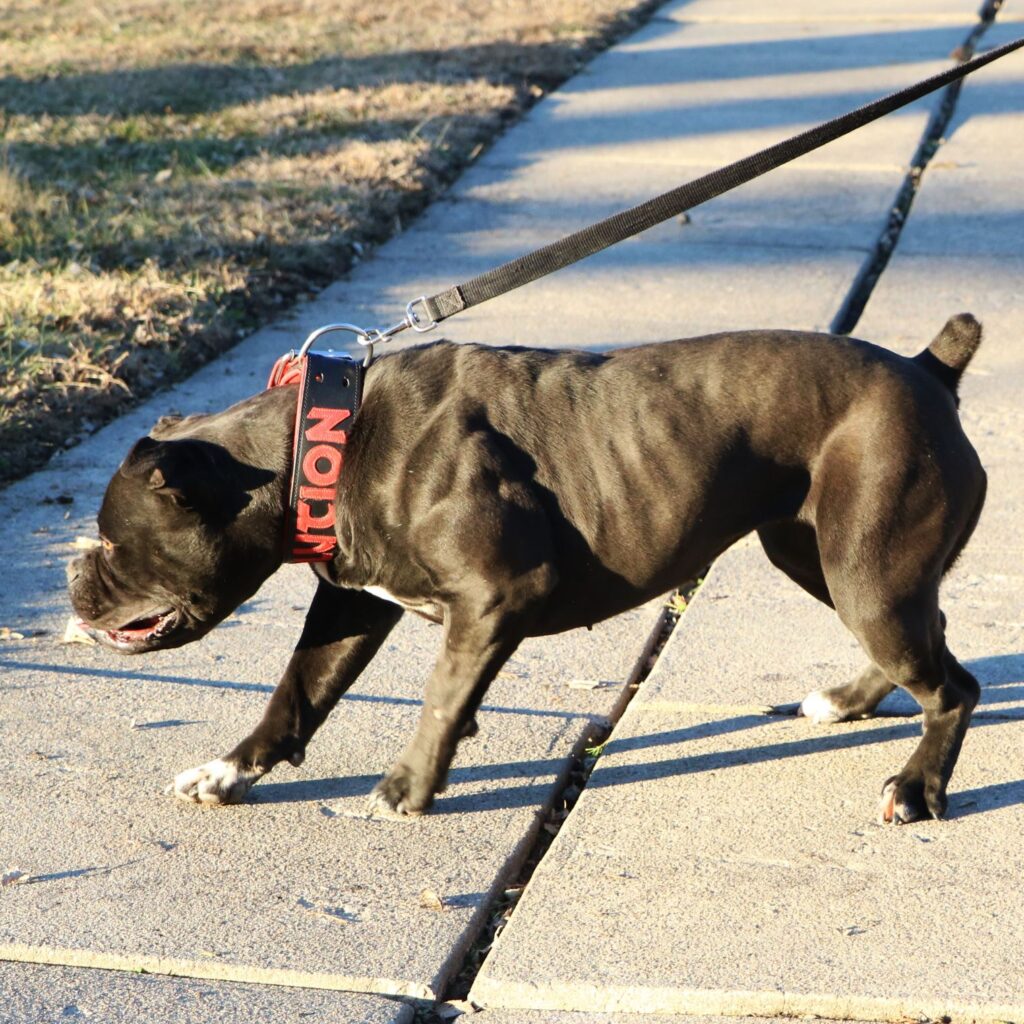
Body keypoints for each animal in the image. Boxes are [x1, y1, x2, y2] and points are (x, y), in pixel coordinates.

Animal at [68, 315, 987, 827]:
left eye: (111, 543)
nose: (74, 582)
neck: (319, 443)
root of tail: (928, 368)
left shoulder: (496, 595)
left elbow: (442, 694)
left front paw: (406, 788)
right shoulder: (352, 606)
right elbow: (296, 693)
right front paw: (229, 772)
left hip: (865, 570)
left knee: (953, 685)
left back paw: (916, 788)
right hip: (821, 557)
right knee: (929, 639)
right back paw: (848, 703)